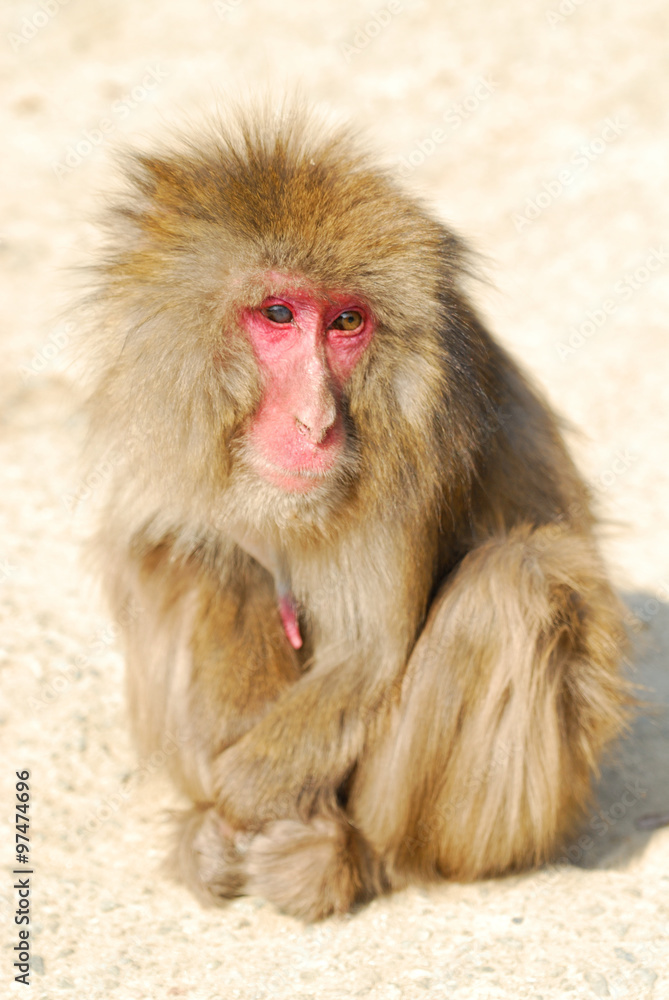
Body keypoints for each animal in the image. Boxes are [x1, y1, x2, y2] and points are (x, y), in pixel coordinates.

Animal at [83, 103, 630, 921]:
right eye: (278, 313)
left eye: (347, 323)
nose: (315, 421)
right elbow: (185, 543)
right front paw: (216, 818)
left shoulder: (417, 444)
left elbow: (370, 652)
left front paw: (237, 804)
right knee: (185, 554)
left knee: (514, 583)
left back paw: (355, 857)